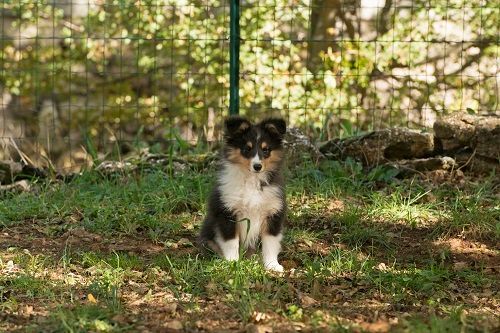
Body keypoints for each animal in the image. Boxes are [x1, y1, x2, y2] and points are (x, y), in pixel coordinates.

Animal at [198, 115, 286, 272]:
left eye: (266, 150)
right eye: (246, 149)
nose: (257, 166)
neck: (252, 180)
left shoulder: (274, 213)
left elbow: (270, 242)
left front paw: (272, 265)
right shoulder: (227, 212)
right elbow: (231, 241)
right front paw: (232, 262)